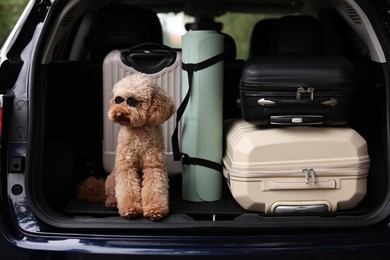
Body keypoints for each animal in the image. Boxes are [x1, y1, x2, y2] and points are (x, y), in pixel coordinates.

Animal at [105, 73, 175, 221]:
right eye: (118, 100)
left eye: (132, 101)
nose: (118, 114)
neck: (138, 131)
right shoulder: (126, 166)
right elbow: (127, 188)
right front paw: (130, 209)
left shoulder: (153, 165)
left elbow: (154, 186)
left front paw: (155, 209)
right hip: (112, 177)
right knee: (111, 193)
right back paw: (112, 202)